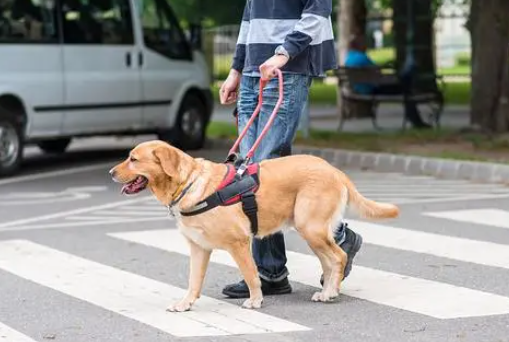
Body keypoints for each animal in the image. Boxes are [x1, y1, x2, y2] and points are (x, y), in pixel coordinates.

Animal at [109, 140, 398, 312]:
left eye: (133, 159)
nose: (110, 172)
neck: (189, 184)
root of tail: (334, 170)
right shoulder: (199, 248)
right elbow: (193, 281)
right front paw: (185, 304)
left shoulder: (239, 243)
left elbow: (250, 275)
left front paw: (256, 299)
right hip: (310, 230)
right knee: (330, 261)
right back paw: (328, 290)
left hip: (311, 228)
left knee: (338, 257)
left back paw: (330, 292)